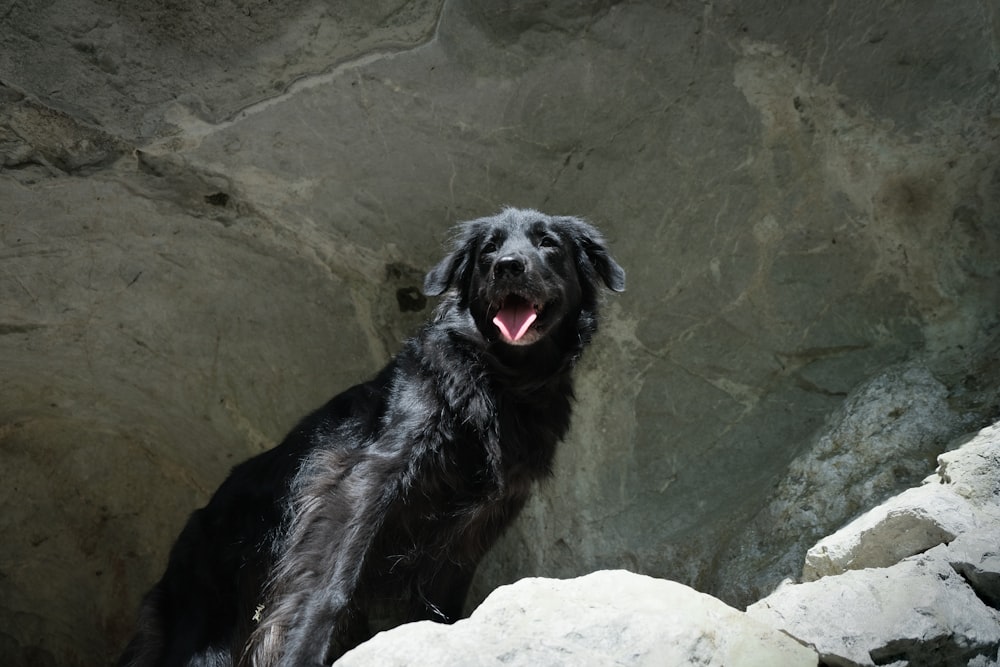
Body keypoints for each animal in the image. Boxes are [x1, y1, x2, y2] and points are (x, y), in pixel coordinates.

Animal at [117, 206, 624, 664]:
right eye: (488, 250)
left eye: (548, 244)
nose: (508, 266)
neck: (501, 380)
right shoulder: (366, 479)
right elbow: (328, 585)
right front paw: (301, 649)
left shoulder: (480, 520)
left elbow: (441, 603)